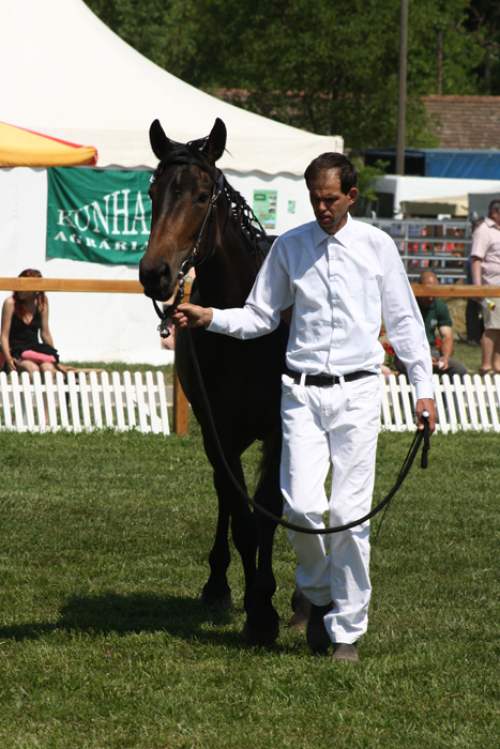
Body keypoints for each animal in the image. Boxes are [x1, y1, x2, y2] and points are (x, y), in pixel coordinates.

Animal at [139, 118, 292, 645]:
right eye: (152, 192)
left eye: (203, 195)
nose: (155, 273)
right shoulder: (218, 429)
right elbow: (242, 516)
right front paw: (256, 606)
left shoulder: (279, 430)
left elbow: (267, 511)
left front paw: (267, 605)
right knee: (226, 496)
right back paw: (218, 583)